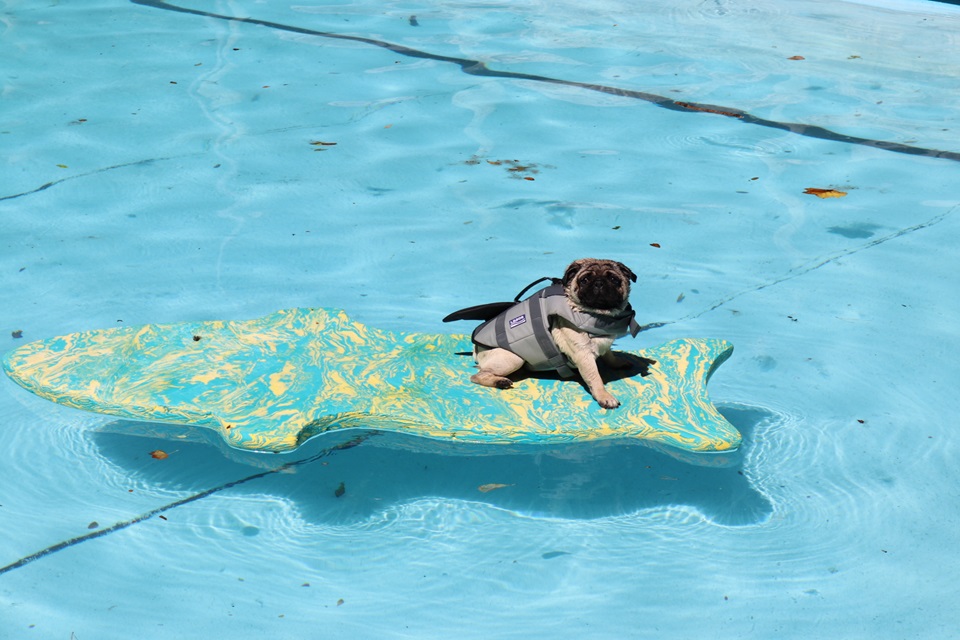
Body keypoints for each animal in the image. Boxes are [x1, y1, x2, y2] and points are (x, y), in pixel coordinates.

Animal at [470, 258, 636, 408]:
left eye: (614, 279)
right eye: (585, 280)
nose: (599, 283)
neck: (599, 315)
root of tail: (476, 350)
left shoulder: (604, 345)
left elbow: (609, 355)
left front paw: (617, 363)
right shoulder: (584, 356)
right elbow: (595, 378)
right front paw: (604, 396)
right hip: (513, 358)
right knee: (477, 376)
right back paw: (499, 381)